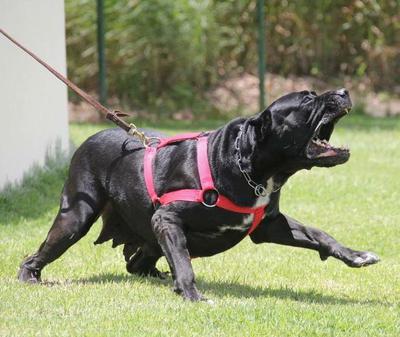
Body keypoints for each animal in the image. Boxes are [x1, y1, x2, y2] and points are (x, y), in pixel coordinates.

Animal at [18, 88, 380, 300]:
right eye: (307, 100)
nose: (344, 90)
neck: (249, 166)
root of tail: (89, 139)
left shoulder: (269, 225)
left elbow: (318, 234)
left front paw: (355, 255)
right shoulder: (167, 219)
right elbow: (184, 261)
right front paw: (192, 294)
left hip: (145, 237)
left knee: (137, 264)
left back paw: (156, 275)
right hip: (75, 218)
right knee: (41, 252)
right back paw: (29, 276)